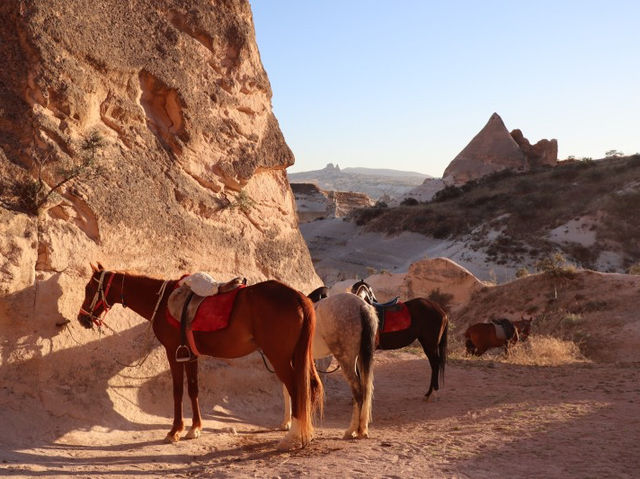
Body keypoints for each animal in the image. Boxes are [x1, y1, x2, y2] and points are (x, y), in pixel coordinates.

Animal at [77, 264, 322, 452]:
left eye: (89, 288)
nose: (82, 318)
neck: (163, 301)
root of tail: (299, 298)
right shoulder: (190, 354)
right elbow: (193, 390)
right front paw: (195, 428)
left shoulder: (173, 353)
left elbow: (177, 392)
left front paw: (174, 431)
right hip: (300, 355)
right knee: (309, 387)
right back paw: (303, 435)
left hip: (280, 357)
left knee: (297, 389)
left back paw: (292, 437)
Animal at [278, 290, 376, 440]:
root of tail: (362, 306)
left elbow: (288, 389)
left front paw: (287, 424)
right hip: (360, 358)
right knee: (365, 389)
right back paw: (362, 429)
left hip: (346, 359)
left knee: (358, 392)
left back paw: (351, 430)